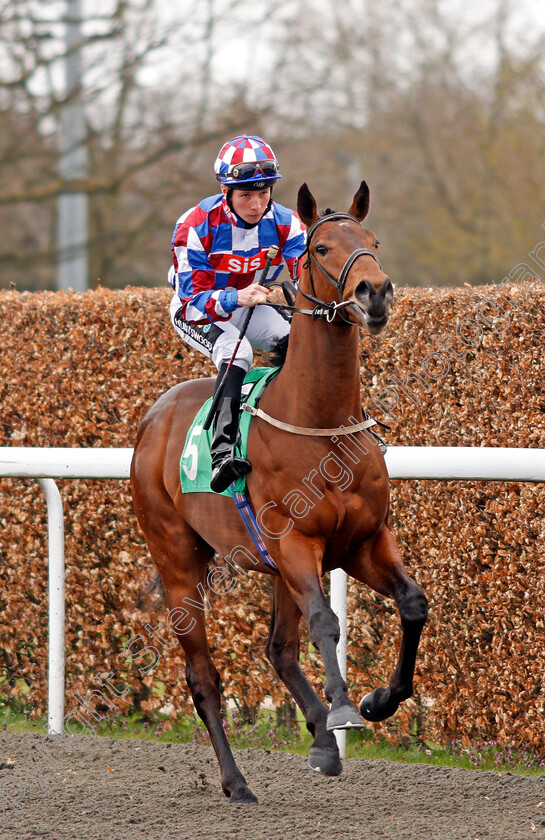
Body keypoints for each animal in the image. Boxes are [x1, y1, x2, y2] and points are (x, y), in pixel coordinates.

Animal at [130, 182, 428, 800]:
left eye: (373, 240)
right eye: (320, 249)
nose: (376, 292)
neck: (319, 423)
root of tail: (152, 419)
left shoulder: (362, 543)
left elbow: (413, 604)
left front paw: (376, 701)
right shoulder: (295, 543)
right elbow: (326, 623)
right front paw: (344, 710)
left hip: (275, 568)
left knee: (279, 650)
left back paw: (320, 742)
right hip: (178, 561)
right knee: (203, 676)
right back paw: (237, 781)